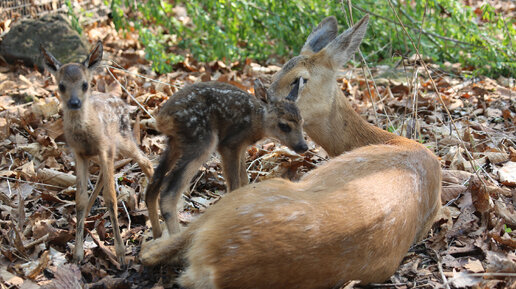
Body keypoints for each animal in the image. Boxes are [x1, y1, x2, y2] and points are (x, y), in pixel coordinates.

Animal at [40, 41, 154, 264]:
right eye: (61, 86)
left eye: (85, 84)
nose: (74, 102)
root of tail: (123, 102)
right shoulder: (79, 154)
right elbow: (80, 200)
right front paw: (77, 254)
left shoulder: (104, 147)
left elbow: (111, 198)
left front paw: (121, 254)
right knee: (103, 176)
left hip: (122, 139)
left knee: (145, 161)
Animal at [144, 78, 306, 236]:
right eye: (283, 125)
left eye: (302, 121)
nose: (304, 146)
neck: (256, 122)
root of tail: (162, 119)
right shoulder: (229, 144)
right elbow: (235, 185)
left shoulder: (241, 146)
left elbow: (244, 181)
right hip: (202, 140)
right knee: (168, 193)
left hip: (176, 143)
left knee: (153, 184)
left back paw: (157, 234)